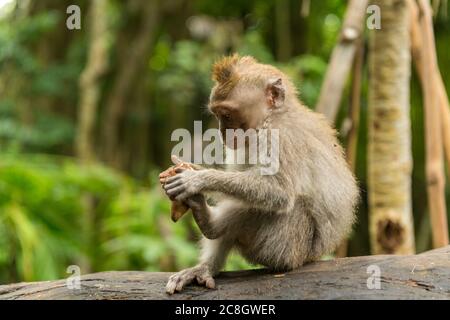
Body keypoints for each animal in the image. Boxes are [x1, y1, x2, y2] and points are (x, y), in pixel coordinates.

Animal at [162, 53, 358, 294]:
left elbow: (279, 191)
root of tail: (311, 257)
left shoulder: (280, 138)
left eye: (227, 115)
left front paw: (196, 179)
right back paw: (206, 260)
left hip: (288, 248)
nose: (223, 133)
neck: (272, 118)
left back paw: (211, 224)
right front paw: (189, 168)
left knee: (285, 205)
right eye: (217, 115)